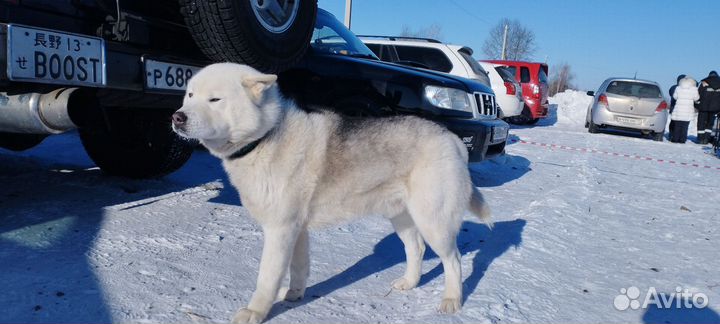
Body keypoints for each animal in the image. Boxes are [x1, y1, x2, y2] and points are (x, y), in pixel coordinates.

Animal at [172, 62, 492, 322]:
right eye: (190, 96)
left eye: (215, 99)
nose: (178, 118)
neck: (265, 136)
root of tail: (451, 139)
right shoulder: (296, 230)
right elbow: (298, 268)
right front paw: (294, 295)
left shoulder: (280, 230)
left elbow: (267, 277)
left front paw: (256, 311)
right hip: (402, 217)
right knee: (417, 249)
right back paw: (409, 283)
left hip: (433, 222)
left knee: (453, 260)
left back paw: (452, 299)